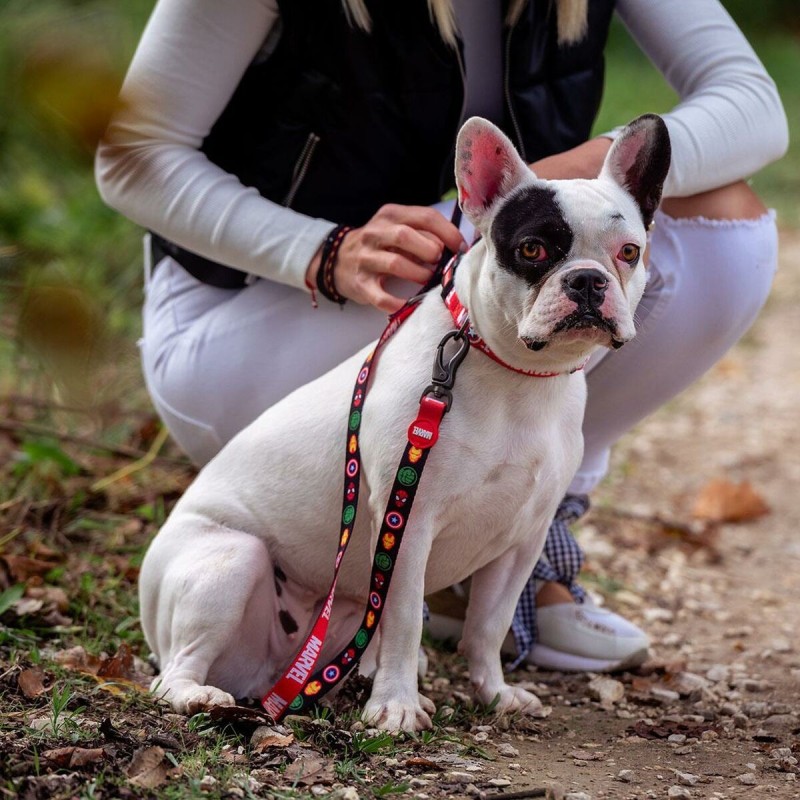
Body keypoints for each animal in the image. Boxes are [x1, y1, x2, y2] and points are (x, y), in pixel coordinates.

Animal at [138, 112, 668, 732]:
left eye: (629, 251)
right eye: (533, 248)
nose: (587, 280)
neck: (518, 373)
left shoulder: (522, 539)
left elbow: (489, 626)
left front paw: (493, 694)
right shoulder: (407, 525)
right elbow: (406, 619)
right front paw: (395, 706)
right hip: (229, 563)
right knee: (174, 670)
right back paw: (198, 695)